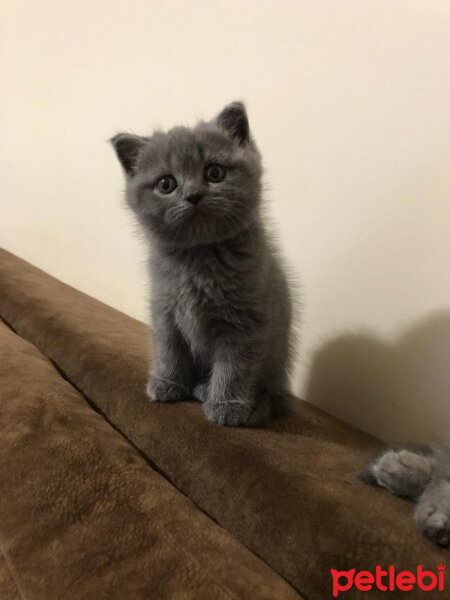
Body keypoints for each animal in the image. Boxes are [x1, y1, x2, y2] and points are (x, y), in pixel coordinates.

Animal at [110, 102, 294, 426]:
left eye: (214, 172)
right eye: (166, 184)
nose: (193, 195)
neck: (198, 259)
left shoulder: (246, 322)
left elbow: (235, 367)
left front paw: (226, 405)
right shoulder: (165, 310)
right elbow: (170, 349)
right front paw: (168, 383)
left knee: (269, 394)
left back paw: (218, 394)